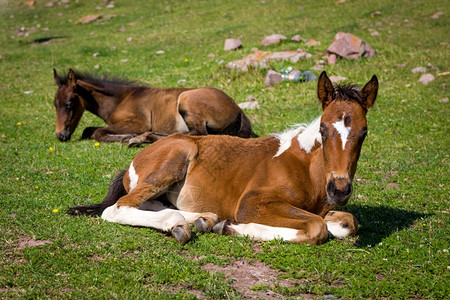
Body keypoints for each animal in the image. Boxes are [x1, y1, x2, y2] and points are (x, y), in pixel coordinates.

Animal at [68, 71, 378, 245]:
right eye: (323, 129)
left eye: (364, 132)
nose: (339, 190)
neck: (305, 167)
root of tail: (135, 160)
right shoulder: (253, 203)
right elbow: (316, 227)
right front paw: (232, 227)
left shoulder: (326, 208)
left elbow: (347, 222)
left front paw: (222, 225)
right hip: (175, 159)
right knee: (118, 208)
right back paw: (182, 224)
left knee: (150, 204)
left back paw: (201, 220)